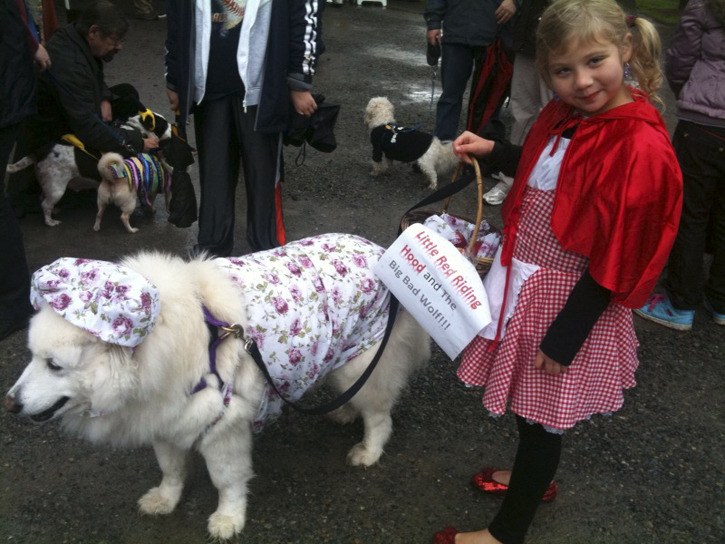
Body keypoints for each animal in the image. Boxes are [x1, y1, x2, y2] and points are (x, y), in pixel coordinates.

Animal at [5, 233, 430, 540]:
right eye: (31, 356)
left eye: (54, 365)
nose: (9, 404)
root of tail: (380, 250)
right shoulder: (166, 420)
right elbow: (172, 469)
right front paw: (165, 500)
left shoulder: (223, 426)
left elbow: (227, 480)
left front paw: (228, 520)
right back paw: (343, 412)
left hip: (359, 364)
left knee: (380, 416)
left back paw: (368, 451)